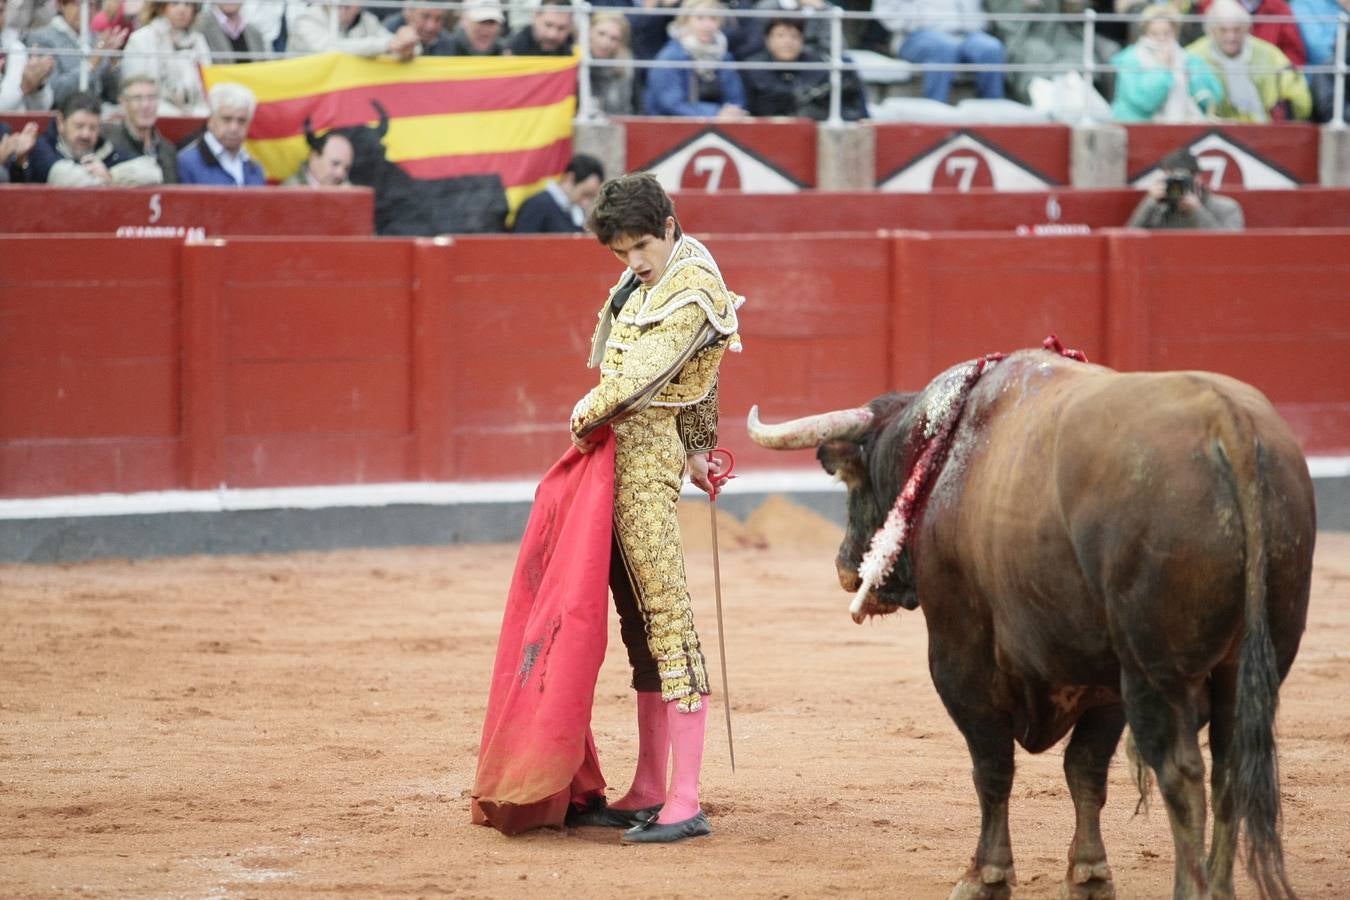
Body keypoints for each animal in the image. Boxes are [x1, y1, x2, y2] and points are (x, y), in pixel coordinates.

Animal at [745, 341, 1312, 895]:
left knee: (1180, 773)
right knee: (1231, 769)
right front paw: (1089, 873)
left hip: (1156, 674)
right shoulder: (1106, 685)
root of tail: (1227, 422)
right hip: (1246, 666)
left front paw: (985, 875)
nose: (846, 566)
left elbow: (992, 766)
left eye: (853, 480)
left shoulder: (960, 661)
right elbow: (1085, 770)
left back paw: (1190, 886)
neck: (944, 451)